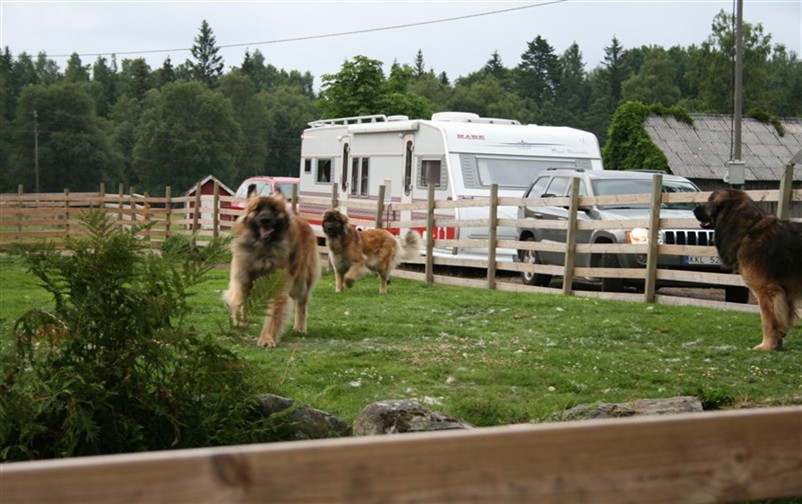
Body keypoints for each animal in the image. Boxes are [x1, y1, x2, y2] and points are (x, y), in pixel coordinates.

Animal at [223, 193, 320, 346]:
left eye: (274, 209)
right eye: (257, 209)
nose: (265, 220)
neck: (263, 248)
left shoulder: (277, 287)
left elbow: (273, 314)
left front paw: (267, 338)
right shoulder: (242, 279)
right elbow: (239, 300)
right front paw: (239, 322)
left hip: (302, 281)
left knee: (301, 304)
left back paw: (300, 328)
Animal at [692, 189, 796, 350]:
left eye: (709, 201)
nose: (694, 209)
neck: (749, 229)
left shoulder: (767, 290)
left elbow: (768, 320)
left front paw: (766, 346)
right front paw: (777, 342)